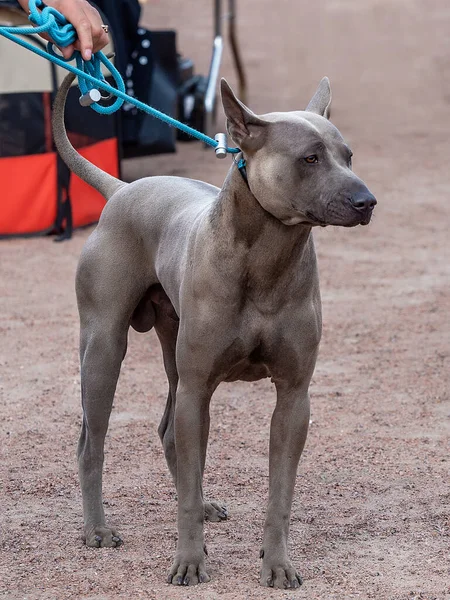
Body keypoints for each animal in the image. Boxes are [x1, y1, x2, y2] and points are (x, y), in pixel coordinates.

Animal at [51, 72, 376, 588]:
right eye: (309, 158)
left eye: (348, 156)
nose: (367, 202)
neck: (265, 261)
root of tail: (121, 188)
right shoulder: (198, 387)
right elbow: (185, 483)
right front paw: (188, 562)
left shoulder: (294, 395)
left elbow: (280, 494)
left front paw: (277, 563)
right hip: (104, 347)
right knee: (92, 442)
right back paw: (97, 530)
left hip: (172, 352)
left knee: (169, 435)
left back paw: (202, 504)